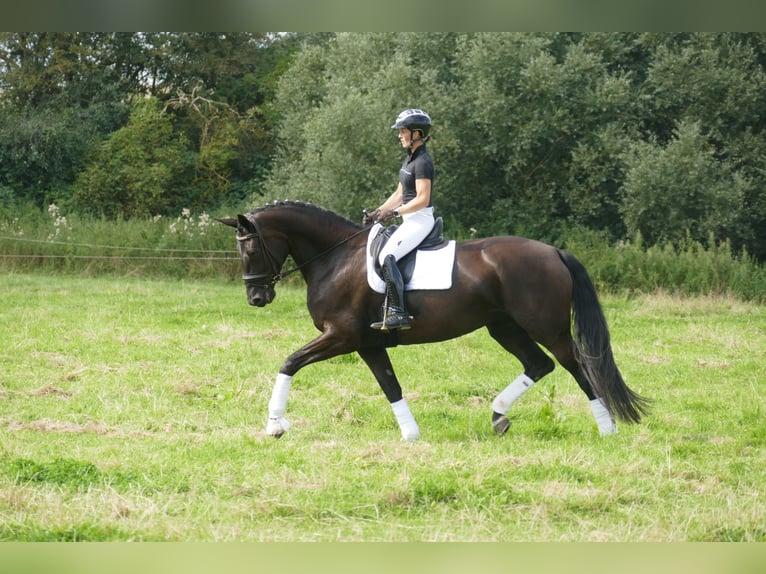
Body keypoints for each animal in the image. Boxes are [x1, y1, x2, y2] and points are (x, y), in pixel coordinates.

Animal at [219, 201, 652, 440]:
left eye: (251, 249)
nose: (257, 298)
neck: (335, 258)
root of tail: (554, 251)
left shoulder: (341, 336)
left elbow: (289, 362)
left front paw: (275, 426)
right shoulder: (368, 343)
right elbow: (390, 385)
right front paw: (410, 434)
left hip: (547, 326)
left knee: (576, 365)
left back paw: (607, 427)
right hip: (503, 326)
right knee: (539, 364)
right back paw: (498, 416)